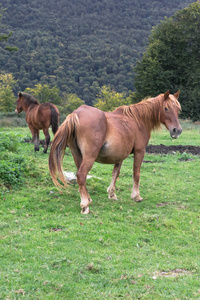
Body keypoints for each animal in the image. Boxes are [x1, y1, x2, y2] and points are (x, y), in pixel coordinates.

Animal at [48, 90, 183, 214]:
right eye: (166, 108)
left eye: (178, 109)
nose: (177, 130)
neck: (138, 120)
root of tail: (76, 114)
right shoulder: (140, 152)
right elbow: (136, 174)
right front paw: (136, 196)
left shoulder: (119, 157)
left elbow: (115, 173)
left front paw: (112, 194)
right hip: (89, 157)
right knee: (81, 175)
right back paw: (85, 205)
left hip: (77, 155)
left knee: (81, 177)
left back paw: (88, 199)